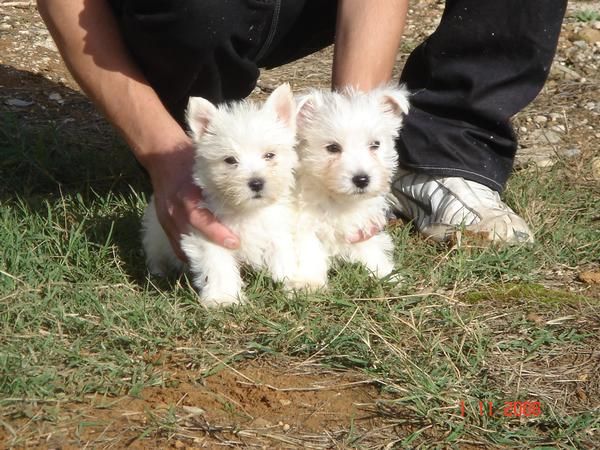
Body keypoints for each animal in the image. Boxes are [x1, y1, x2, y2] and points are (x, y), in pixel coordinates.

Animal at [141, 84, 300, 308]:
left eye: (270, 155)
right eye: (230, 160)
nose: (257, 183)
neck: (246, 210)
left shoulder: (276, 227)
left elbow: (283, 251)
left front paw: (293, 281)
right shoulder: (209, 234)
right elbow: (217, 266)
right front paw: (224, 298)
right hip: (156, 234)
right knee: (155, 253)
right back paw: (158, 272)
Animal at [292, 85, 410, 288]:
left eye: (375, 144)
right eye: (332, 148)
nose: (362, 179)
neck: (338, 199)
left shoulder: (362, 224)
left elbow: (370, 249)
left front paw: (386, 273)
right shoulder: (303, 224)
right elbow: (309, 252)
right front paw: (309, 283)